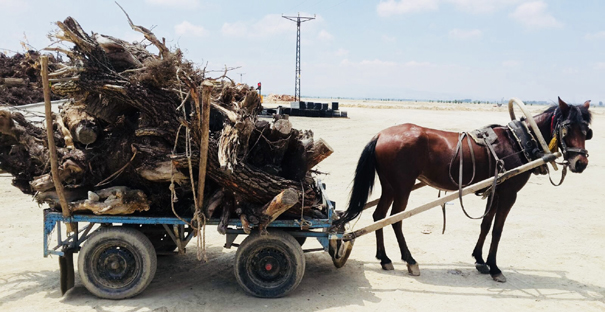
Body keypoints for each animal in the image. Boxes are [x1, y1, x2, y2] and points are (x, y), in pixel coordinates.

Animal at [330, 97, 588, 282]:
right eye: (567, 129)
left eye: (587, 132)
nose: (581, 163)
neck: (519, 141)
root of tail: (381, 134)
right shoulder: (509, 194)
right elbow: (498, 230)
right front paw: (495, 267)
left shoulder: (495, 190)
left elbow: (486, 225)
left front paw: (480, 260)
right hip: (403, 187)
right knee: (395, 219)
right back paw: (410, 260)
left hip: (390, 186)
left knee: (378, 216)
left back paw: (384, 258)